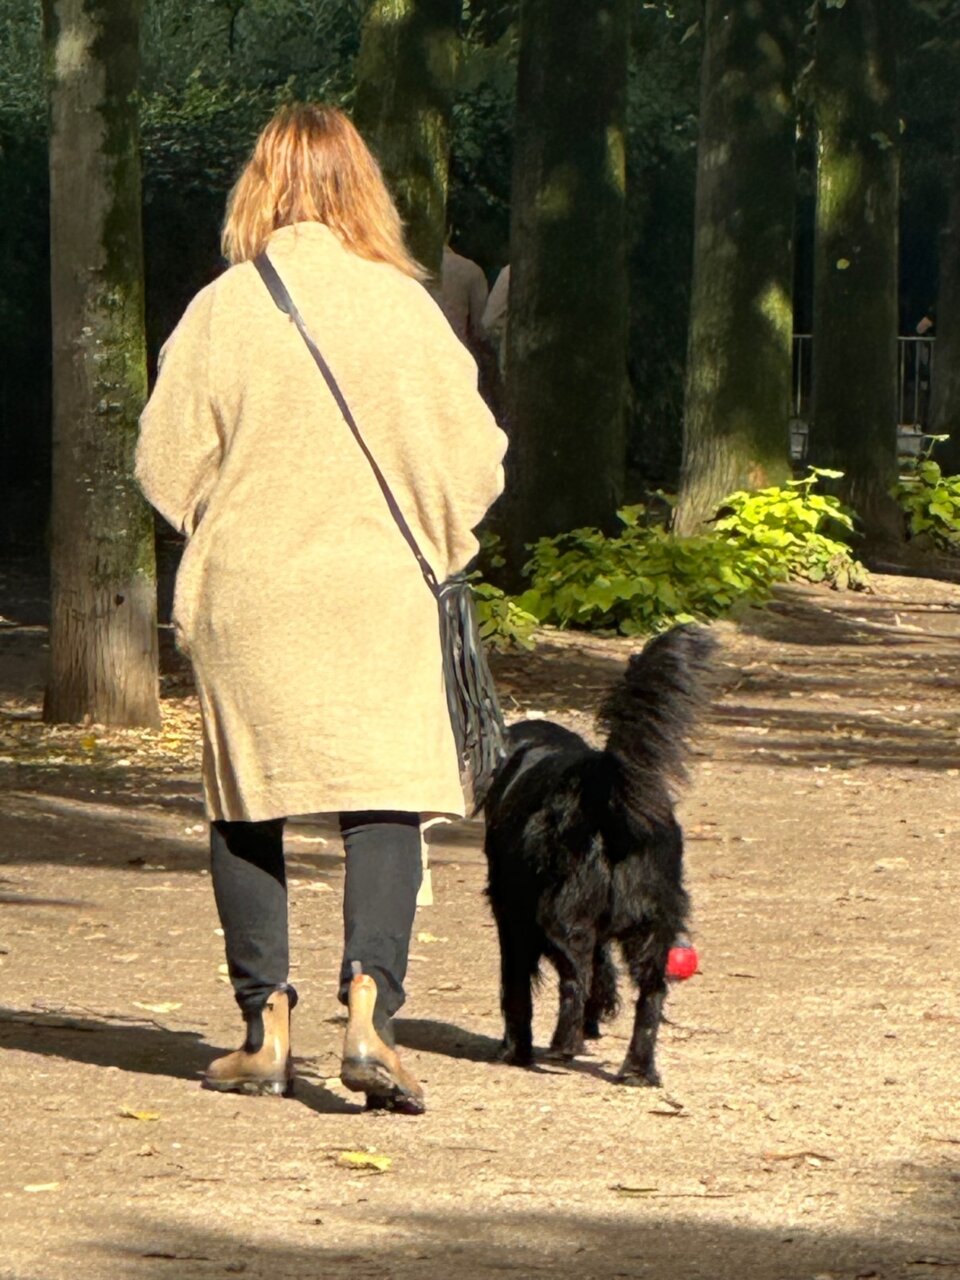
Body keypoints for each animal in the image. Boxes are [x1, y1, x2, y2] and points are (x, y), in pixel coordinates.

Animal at [481, 624, 716, 1085]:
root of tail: (606, 788)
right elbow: (605, 973)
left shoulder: (511, 913)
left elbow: (516, 987)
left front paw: (514, 1049)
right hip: (654, 925)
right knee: (651, 995)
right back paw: (637, 1069)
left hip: (560, 915)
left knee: (576, 979)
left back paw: (562, 1047)